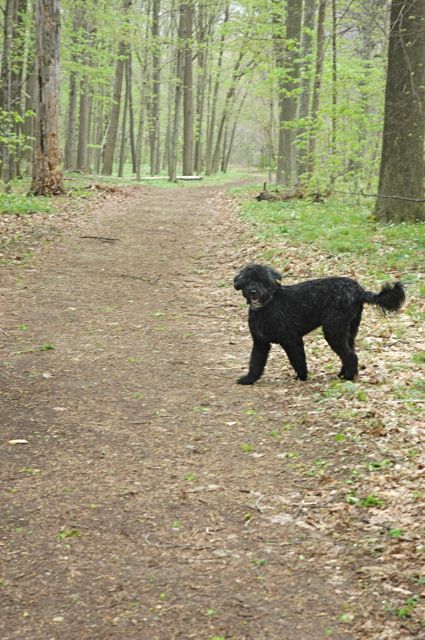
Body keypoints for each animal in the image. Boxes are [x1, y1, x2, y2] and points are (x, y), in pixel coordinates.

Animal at [235, 262, 404, 382]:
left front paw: (302, 377)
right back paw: (344, 374)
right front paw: (249, 379)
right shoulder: (260, 343)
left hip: (333, 330)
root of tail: (360, 291)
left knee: (350, 356)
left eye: (263, 281)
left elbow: (298, 361)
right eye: (247, 281)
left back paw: (348, 377)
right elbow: (255, 363)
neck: (268, 305)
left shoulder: (292, 341)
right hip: (348, 331)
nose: (253, 292)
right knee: (350, 352)